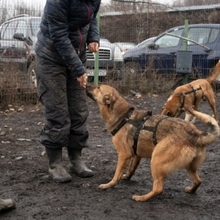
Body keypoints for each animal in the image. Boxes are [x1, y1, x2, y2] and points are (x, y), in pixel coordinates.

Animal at [87, 84, 219, 201]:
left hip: (156, 161)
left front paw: (109, 185)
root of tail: (195, 134)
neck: (124, 116)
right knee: (198, 181)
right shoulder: (136, 155)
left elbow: (116, 174)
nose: (86, 84)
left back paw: (142, 198)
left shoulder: (124, 155)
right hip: (189, 166)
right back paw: (191, 190)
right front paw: (126, 177)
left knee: (158, 189)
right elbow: (131, 169)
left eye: (98, 87)